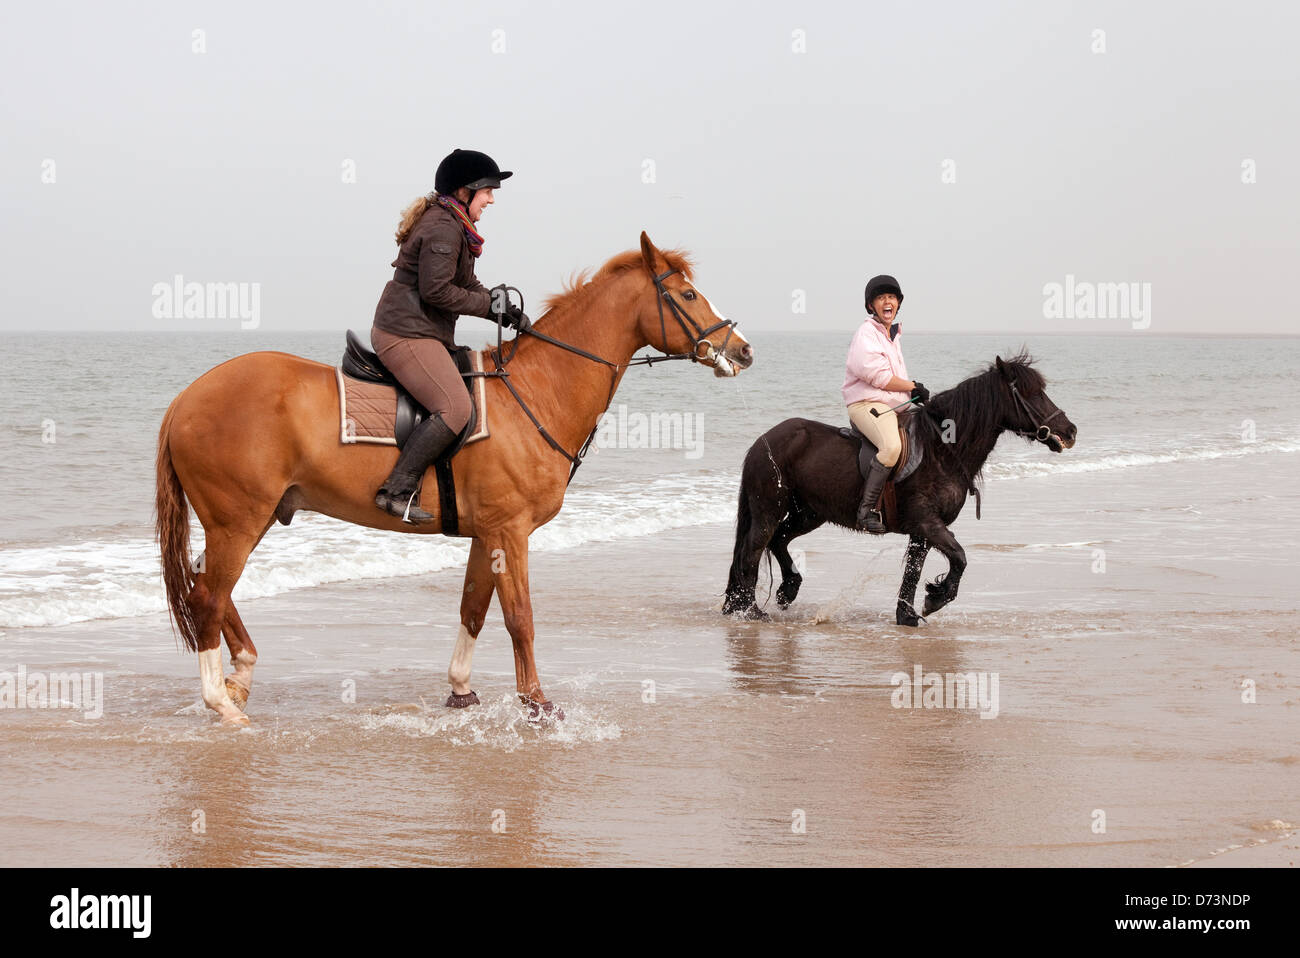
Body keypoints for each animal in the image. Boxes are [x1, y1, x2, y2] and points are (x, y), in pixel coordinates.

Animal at [155, 233, 753, 725]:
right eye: (689, 296)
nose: (742, 350)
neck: (535, 390)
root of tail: (186, 397)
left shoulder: (488, 534)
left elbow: (473, 609)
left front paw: (461, 691)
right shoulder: (510, 532)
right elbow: (519, 618)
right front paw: (536, 704)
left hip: (252, 519)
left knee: (207, 588)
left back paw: (240, 675)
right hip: (238, 521)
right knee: (207, 597)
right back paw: (221, 703)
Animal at [721, 353, 1076, 624]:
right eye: (1031, 393)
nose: (1070, 431)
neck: (941, 450)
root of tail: (763, 441)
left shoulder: (925, 530)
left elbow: (914, 572)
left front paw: (907, 615)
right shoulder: (927, 523)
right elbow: (960, 557)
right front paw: (934, 600)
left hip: (809, 513)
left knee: (779, 540)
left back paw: (786, 591)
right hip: (769, 509)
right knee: (753, 550)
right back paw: (750, 611)